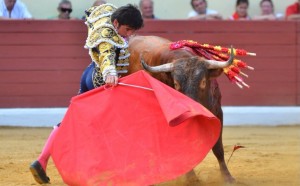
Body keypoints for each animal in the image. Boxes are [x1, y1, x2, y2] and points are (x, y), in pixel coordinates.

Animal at [126, 35, 237, 183]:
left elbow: (218, 147)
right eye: (176, 84)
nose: (192, 110)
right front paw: (191, 177)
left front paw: (228, 177)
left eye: (203, 82)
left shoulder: (217, 112)